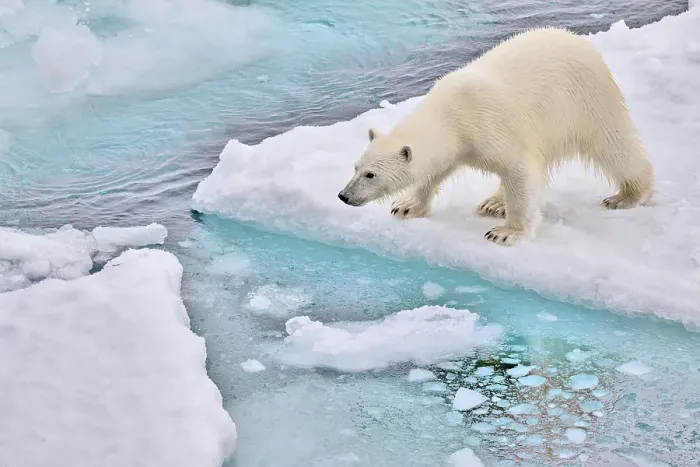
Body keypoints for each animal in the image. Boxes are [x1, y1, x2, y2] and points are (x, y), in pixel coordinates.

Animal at [337, 26, 654, 247]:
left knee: (614, 145)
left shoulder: (491, 126)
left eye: (371, 175)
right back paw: (494, 202)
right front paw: (406, 205)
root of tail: (578, 40)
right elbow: (436, 171)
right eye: (355, 167)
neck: (454, 114)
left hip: (587, 101)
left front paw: (506, 233)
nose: (344, 196)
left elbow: (520, 171)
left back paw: (627, 196)